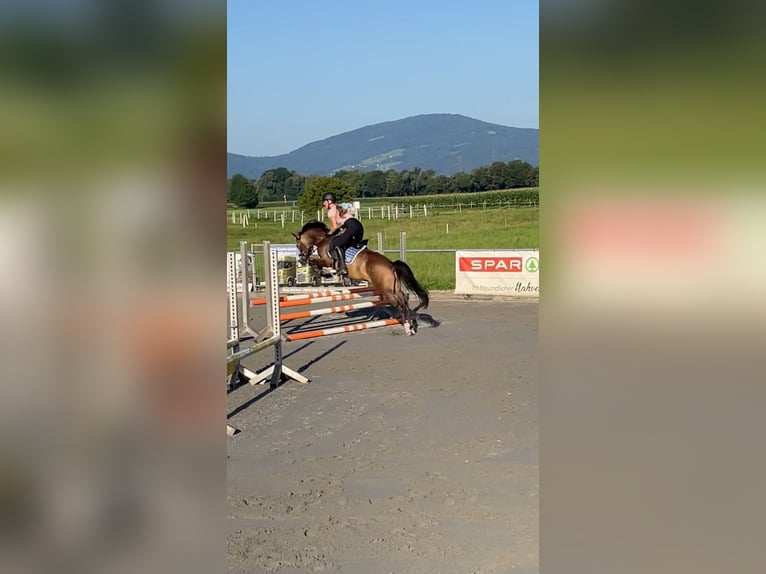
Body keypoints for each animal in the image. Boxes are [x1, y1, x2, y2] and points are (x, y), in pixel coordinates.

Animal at [292, 222, 428, 338]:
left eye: (298, 245)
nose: (302, 259)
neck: (322, 240)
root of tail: (391, 265)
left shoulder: (327, 261)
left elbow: (314, 262)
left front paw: (324, 273)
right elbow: (316, 264)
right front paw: (325, 274)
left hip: (387, 291)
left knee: (401, 305)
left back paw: (408, 329)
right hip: (395, 288)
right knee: (404, 302)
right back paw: (411, 326)